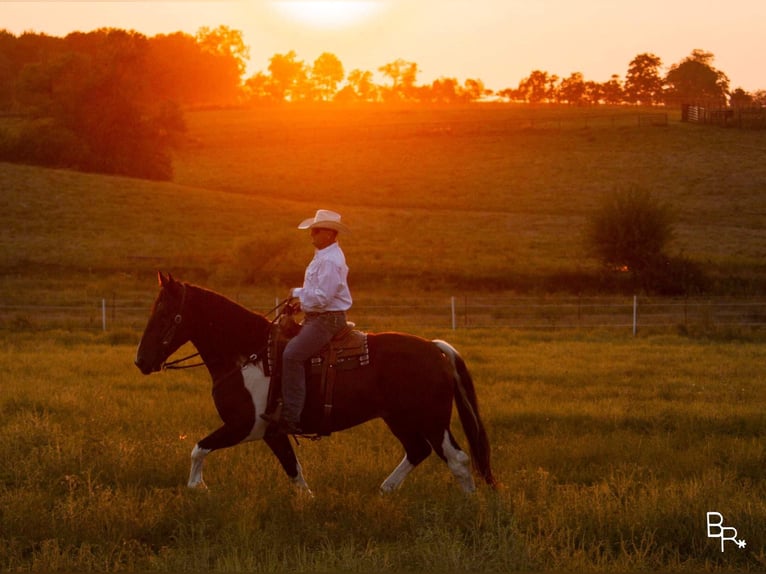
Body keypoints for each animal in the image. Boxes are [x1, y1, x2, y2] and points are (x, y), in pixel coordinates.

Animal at [136, 274, 498, 496]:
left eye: (165, 313)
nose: (141, 361)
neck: (247, 354)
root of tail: (435, 348)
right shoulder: (272, 432)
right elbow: (294, 472)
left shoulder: (243, 426)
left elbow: (198, 448)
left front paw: (197, 487)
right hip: (399, 418)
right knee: (417, 450)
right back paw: (384, 491)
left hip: (432, 420)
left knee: (457, 459)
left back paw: (469, 504)